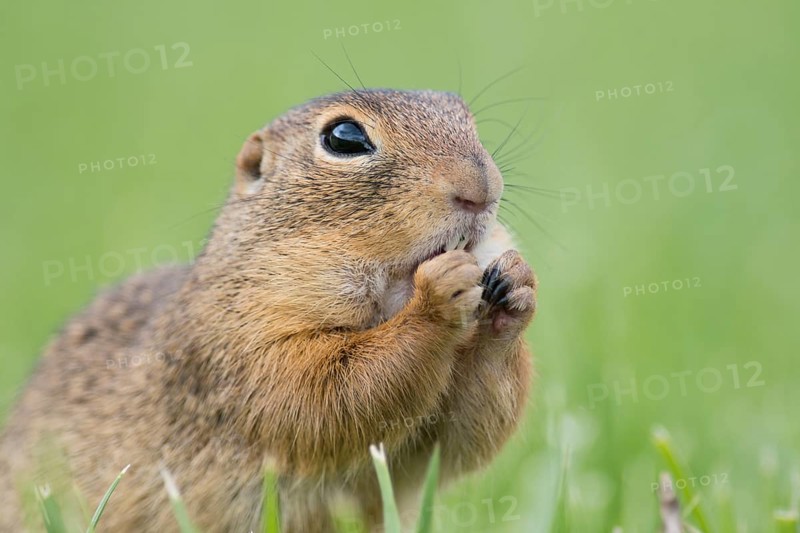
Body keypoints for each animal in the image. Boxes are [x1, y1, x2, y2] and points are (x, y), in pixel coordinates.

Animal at [0, 89, 537, 532]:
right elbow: (322, 395)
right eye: (344, 137)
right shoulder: (237, 343)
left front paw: (516, 282)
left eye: (466, 116)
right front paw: (438, 293)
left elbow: (455, 439)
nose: (482, 188)